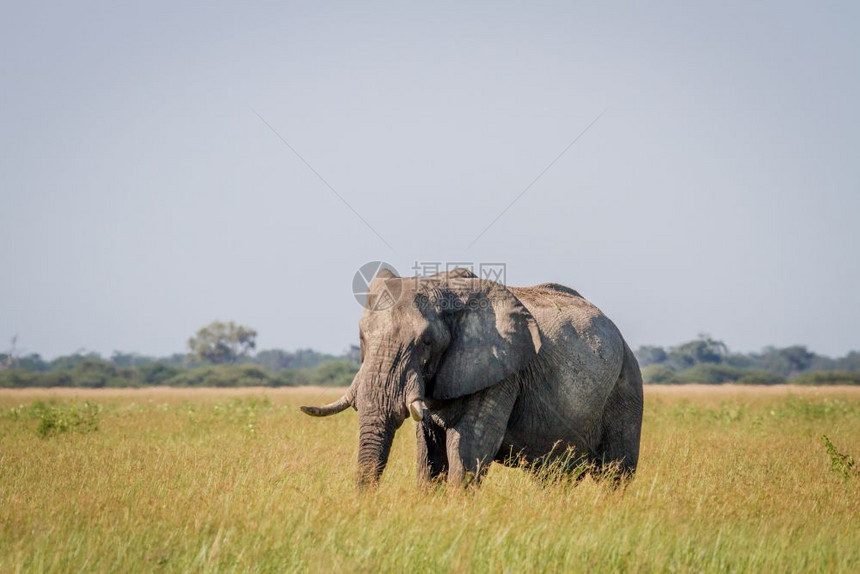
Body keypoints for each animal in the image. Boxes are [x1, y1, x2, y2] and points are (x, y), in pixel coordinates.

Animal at [298, 268, 640, 488]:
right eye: (362, 337)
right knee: (555, 476)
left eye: (426, 342)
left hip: (626, 386)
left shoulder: (501, 372)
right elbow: (429, 454)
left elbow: (469, 447)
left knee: (616, 474)